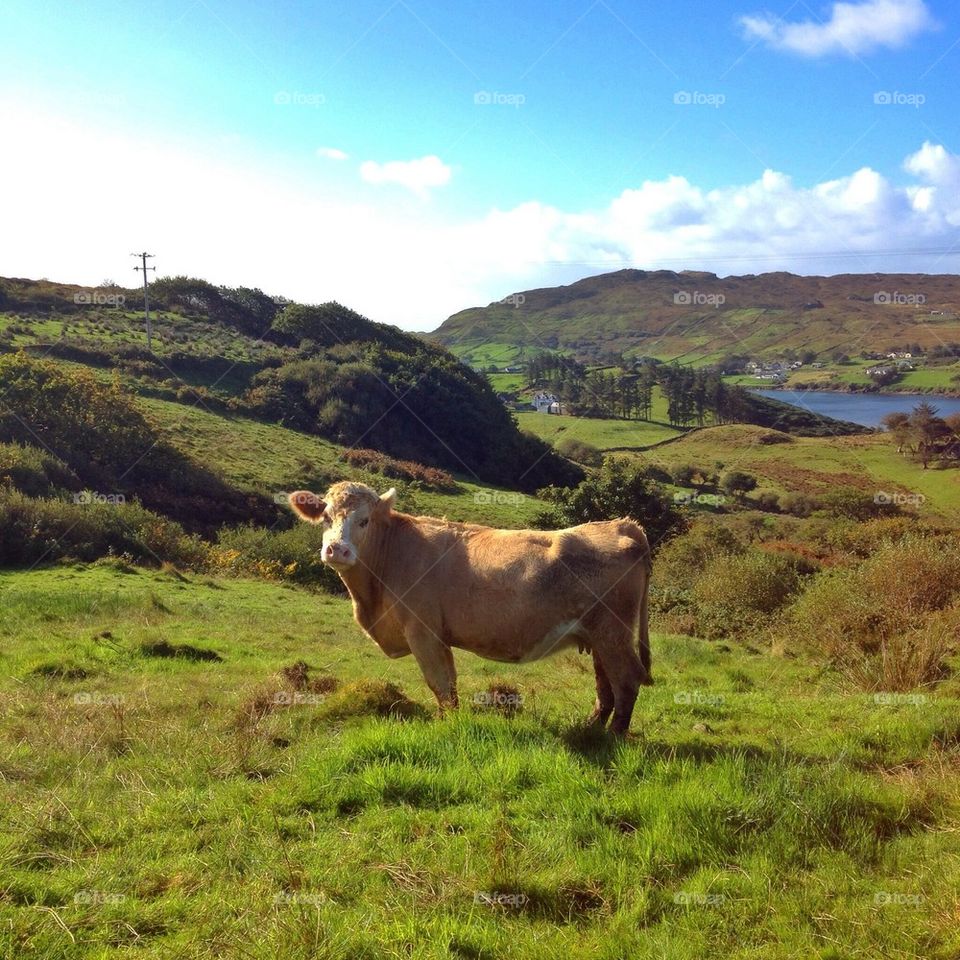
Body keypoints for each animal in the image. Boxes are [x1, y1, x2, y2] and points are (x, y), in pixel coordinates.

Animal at [284, 480, 652, 736]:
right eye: (326, 518)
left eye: (364, 521)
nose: (336, 549)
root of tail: (621, 524)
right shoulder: (438, 637)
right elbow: (449, 685)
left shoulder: (423, 633)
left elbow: (440, 684)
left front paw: (446, 725)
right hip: (598, 636)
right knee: (605, 686)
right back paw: (591, 729)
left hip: (613, 633)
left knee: (625, 680)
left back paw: (614, 737)